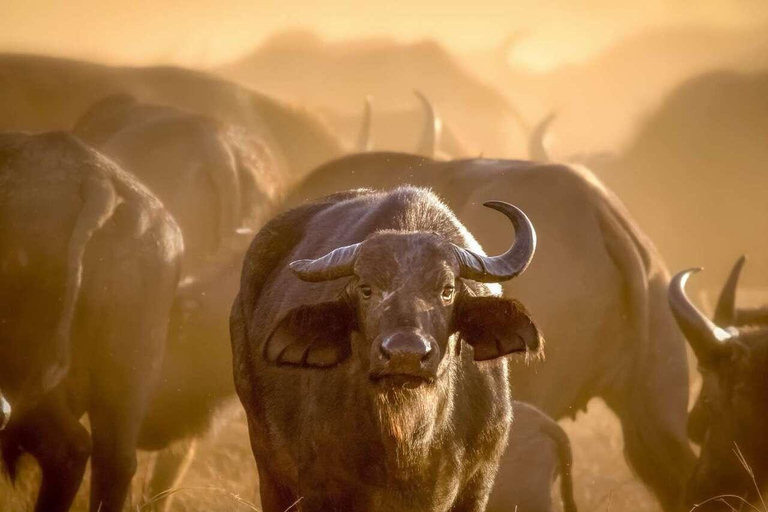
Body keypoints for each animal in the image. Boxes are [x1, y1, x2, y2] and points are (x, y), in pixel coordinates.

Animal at [231, 188, 544, 512]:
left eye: (447, 290)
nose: (405, 355)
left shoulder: (478, 483)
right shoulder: (316, 486)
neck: (407, 441)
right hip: (267, 466)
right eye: (366, 289)